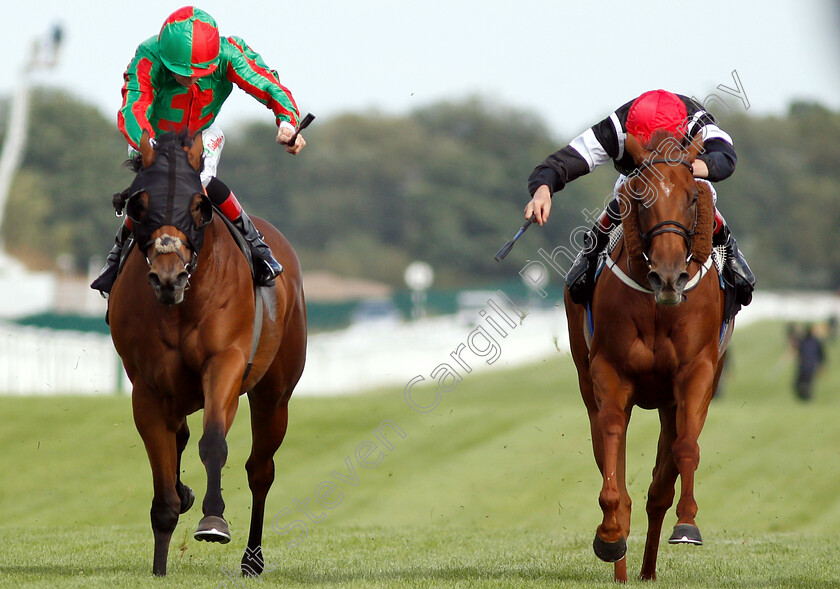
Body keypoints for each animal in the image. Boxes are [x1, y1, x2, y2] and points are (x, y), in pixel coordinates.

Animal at [106, 130, 306, 576]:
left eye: (198, 207)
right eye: (138, 206)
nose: (169, 277)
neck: (182, 304)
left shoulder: (225, 364)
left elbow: (213, 440)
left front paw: (213, 521)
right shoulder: (147, 388)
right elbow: (163, 482)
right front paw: (160, 565)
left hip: (274, 394)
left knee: (260, 470)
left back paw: (252, 559)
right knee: (179, 435)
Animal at [564, 131, 728, 580]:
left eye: (692, 196)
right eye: (640, 197)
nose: (668, 276)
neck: (658, 307)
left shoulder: (697, 373)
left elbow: (686, 448)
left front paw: (687, 524)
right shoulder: (610, 373)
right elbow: (612, 448)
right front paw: (609, 536)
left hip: (672, 403)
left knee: (660, 488)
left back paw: (648, 569)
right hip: (587, 384)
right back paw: (622, 562)